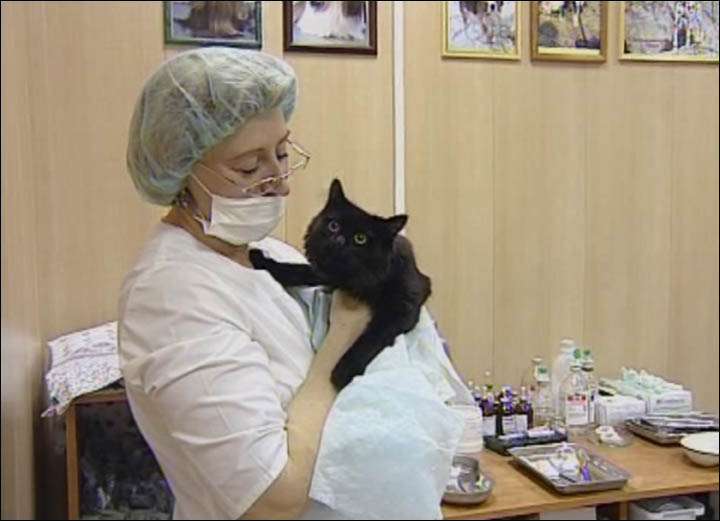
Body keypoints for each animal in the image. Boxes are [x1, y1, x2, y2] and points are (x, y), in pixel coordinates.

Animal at [250, 180, 430, 390]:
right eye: (334, 226)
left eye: (360, 238)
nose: (339, 240)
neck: (352, 279)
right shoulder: (326, 274)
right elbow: (296, 270)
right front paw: (261, 260)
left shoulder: (403, 306)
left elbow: (372, 336)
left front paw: (344, 370)